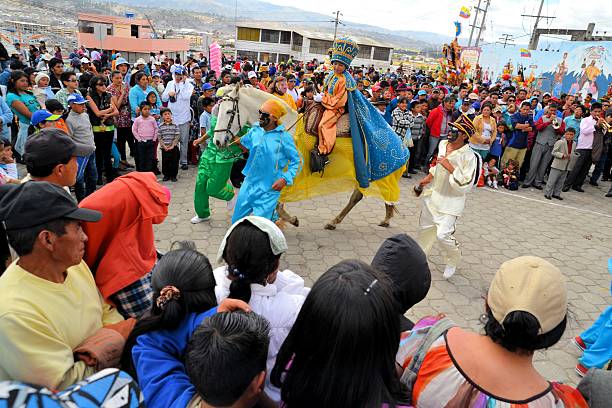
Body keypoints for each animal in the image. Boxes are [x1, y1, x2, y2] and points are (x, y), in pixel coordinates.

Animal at [215, 83, 402, 230]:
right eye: (217, 111)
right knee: (361, 195)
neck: (286, 127)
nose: (217, 141)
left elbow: (279, 202)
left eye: (229, 112)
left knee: (379, 191)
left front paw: (289, 220)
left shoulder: (290, 172)